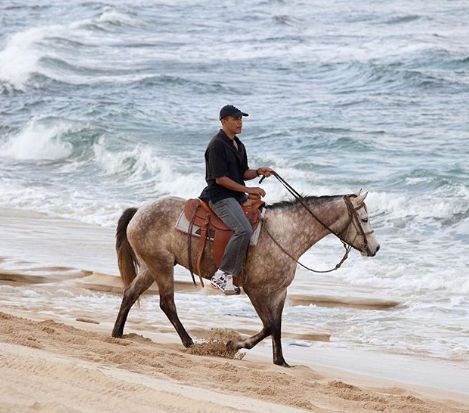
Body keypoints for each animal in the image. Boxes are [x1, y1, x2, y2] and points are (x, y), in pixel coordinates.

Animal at [111, 192, 378, 366]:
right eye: (365, 219)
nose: (375, 248)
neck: (285, 233)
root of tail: (139, 211)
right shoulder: (255, 290)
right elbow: (268, 325)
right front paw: (233, 345)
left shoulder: (279, 292)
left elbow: (277, 326)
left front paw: (280, 361)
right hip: (162, 266)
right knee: (167, 303)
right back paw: (189, 343)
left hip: (150, 267)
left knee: (131, 294)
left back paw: (117, 333)